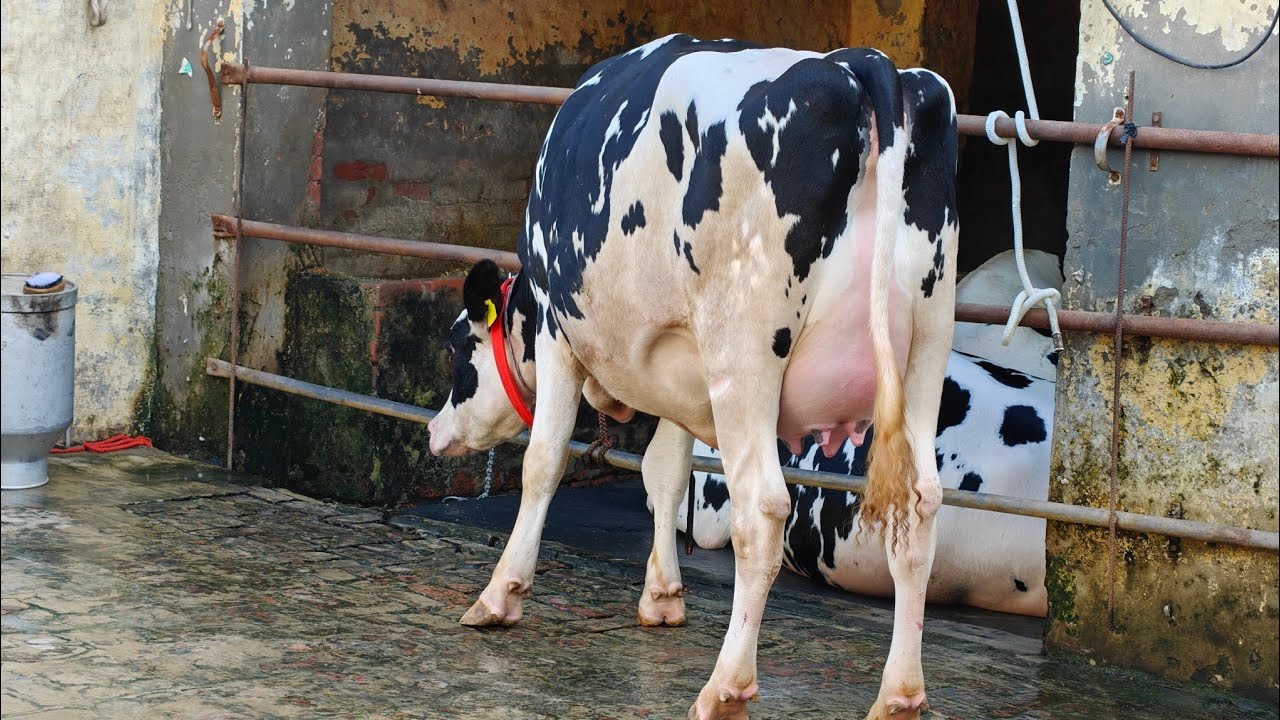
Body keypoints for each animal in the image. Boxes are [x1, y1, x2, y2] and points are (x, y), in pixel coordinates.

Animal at [427, 34, 959, 719]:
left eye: (456, 350)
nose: (434, 432)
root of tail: (862, 64)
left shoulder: (557, 331)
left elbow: (543, 460)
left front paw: (500, 595)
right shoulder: (678, 366)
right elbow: (666, 473)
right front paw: (662, 596)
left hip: (744, 351)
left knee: (762, 511)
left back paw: (724, 688)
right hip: (926, 349)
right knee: (919, 511)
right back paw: (900, 695)